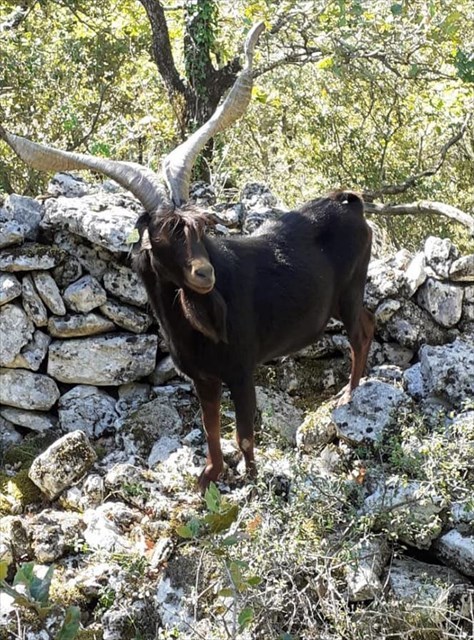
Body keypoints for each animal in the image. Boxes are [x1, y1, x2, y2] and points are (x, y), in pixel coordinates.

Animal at [0, 22, 374, 490]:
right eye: (161, 237)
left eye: (200, 228)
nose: (204, 275)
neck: (191, 321)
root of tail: (351, 203)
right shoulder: (203, 377)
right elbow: (211, 424)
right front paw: (209, 475)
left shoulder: (241, 368)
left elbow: (245, 433)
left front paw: (251, 481)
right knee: (369, 324)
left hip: (350, 290)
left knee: (361, 331)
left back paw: (350, 395)